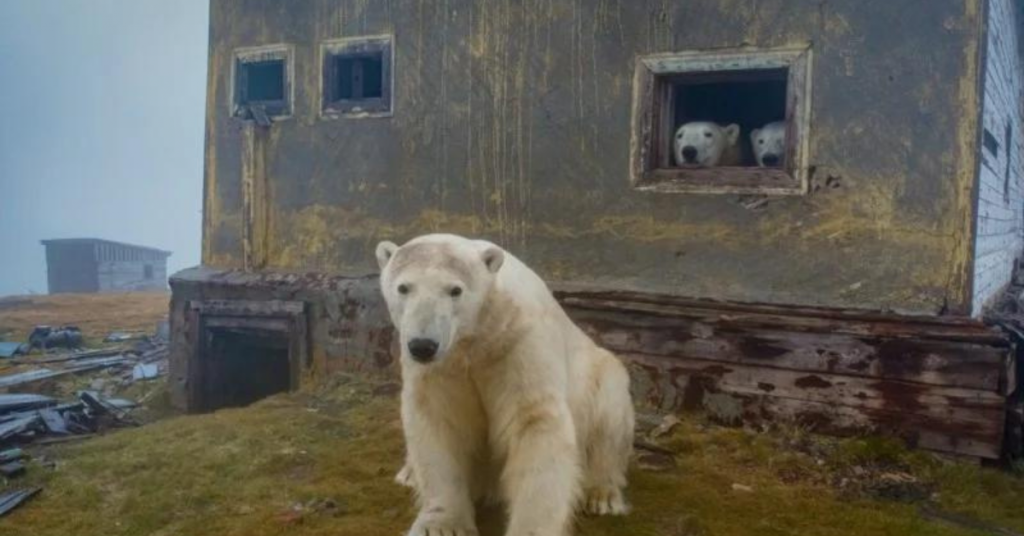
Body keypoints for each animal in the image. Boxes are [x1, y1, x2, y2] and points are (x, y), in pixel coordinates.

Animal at [376, 233, 630, 536]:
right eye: (403, 287)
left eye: (455, 290)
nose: (423, 345)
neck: (477, 337)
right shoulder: (442, 367)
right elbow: (438, 421)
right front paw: (440, 526)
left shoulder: (517, 344)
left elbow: (533, 422)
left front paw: (531, 528)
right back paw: (409, 473)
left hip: (598, 375)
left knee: (609, 415)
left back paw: (602, 494)